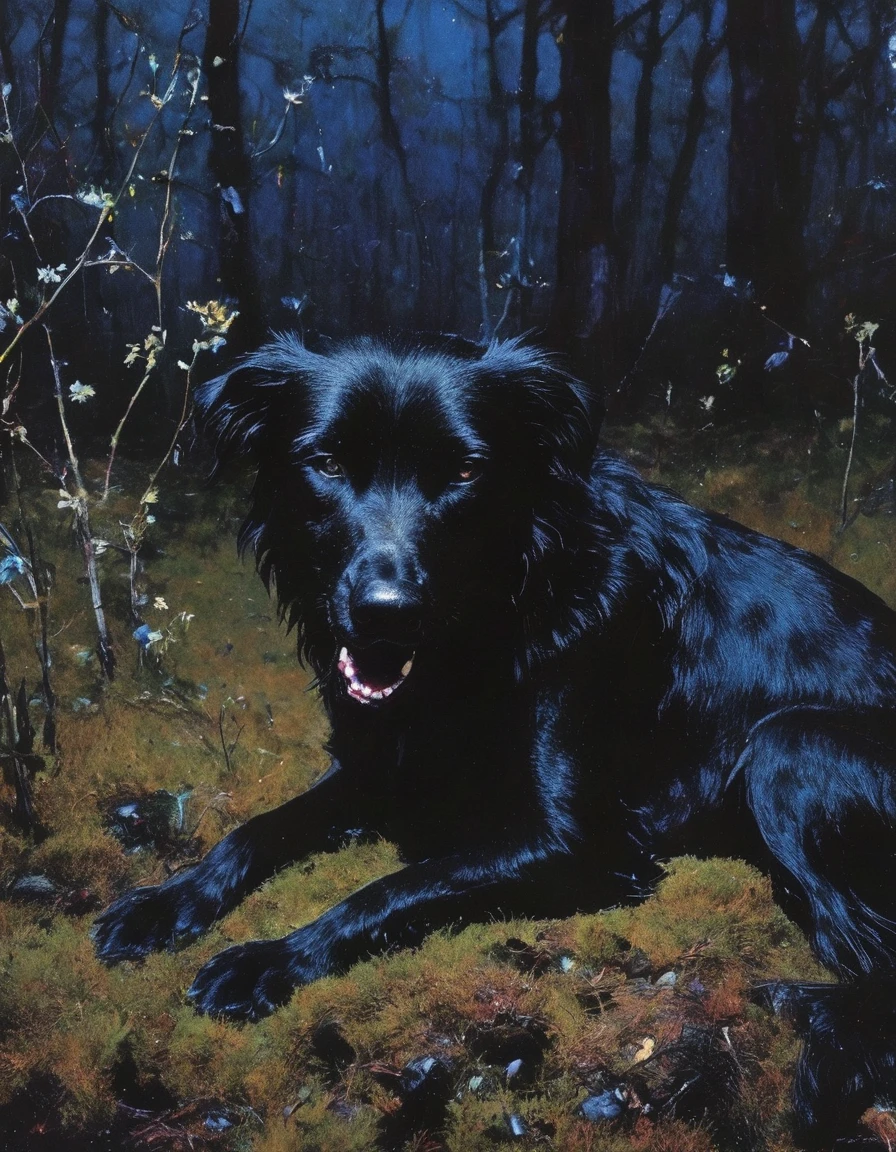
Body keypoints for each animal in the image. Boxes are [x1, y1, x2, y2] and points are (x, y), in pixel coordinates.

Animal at [94, 336, 893, 1147]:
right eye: (327, 463)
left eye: (466, 472)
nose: (387, 613)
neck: (491, 620)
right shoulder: (381, 766)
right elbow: (255, 832)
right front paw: (166, 903)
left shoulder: (584, 845)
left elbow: (395, 888)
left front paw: (271, 960)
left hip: (790, 745)